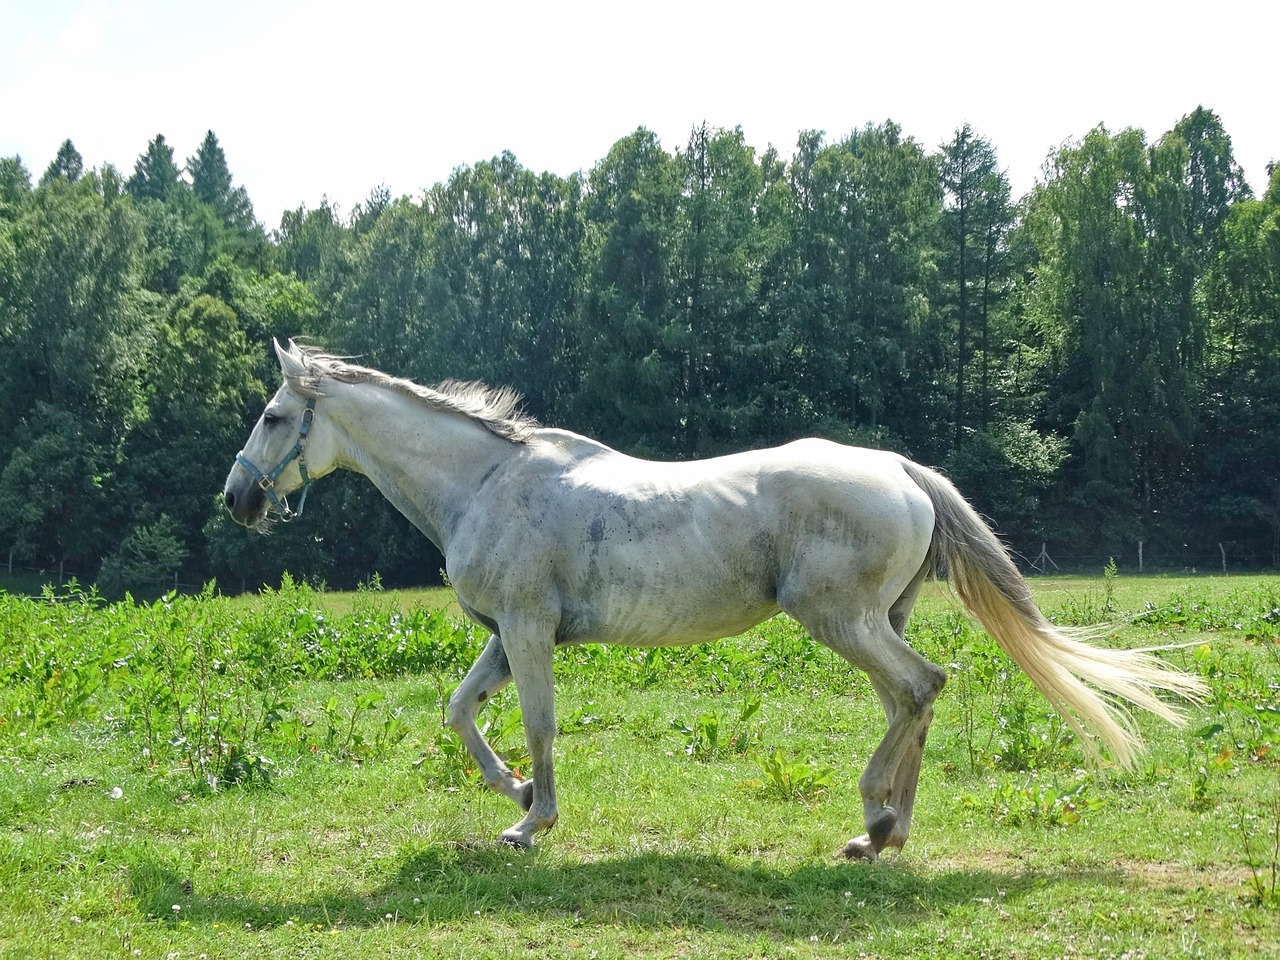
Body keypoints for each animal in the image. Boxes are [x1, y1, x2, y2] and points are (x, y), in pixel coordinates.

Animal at [225, 343, 1203, 860]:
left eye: (273, 417)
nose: (235, 500)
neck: (486, 484)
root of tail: (901, 470)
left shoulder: (530, 632)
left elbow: (538, 726)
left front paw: (532, 821)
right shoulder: (507, 636)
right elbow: (462, 711)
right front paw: (515, 796)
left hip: (840, 620)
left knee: (920, 687)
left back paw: (877, 825)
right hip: (871, 622)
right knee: (909, 699)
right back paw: (881, 831)